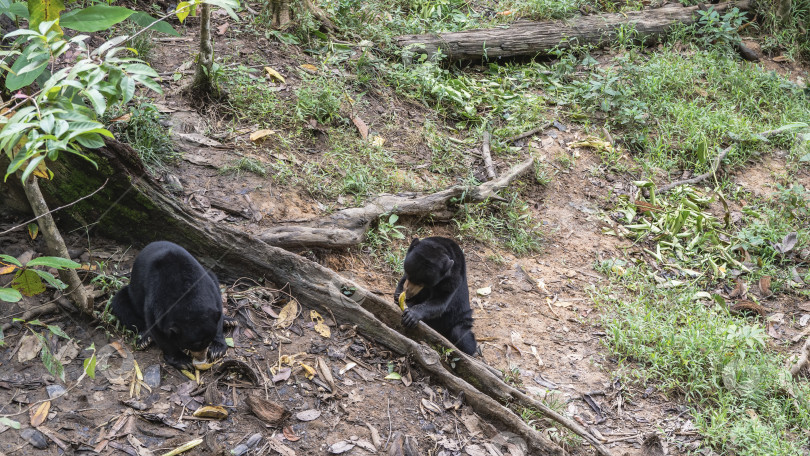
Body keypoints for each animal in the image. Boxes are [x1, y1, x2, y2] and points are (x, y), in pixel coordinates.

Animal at [109, 240, 234, 372]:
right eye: (192, 345)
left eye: (207, 341)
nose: (201, 358)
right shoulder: (155, 300)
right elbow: (158, 330)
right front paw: (183, 361)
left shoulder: (209, 287)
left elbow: (218, 310)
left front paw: (216, 349)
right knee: (120, 304)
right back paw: (144, 339)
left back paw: (229, 321)